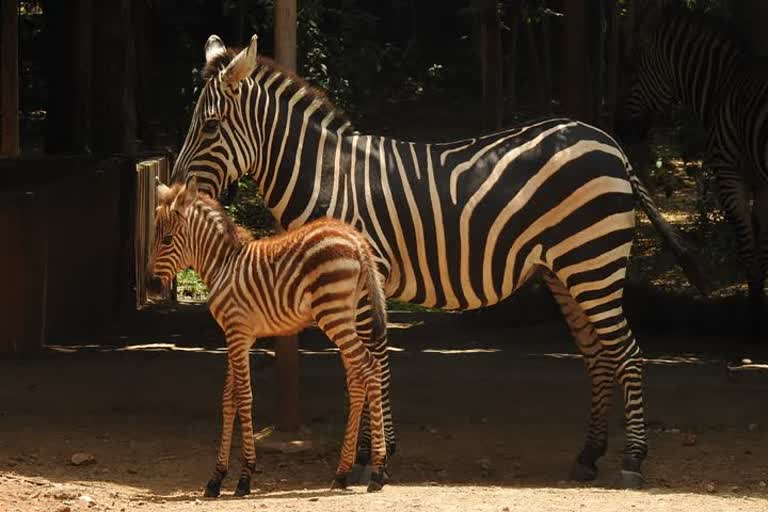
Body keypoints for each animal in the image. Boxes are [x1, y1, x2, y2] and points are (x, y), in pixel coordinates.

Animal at [146, 177, 390, 496]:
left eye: (166, 240)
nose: (149, 286)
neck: (223, 264)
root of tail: (356, 239)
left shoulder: (237, 331)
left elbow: (244, 396)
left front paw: (245, 476)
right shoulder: (239, 335)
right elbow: (228, 399)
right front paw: (216, 477)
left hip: (333, 314)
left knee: (371, 368)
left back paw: (377, 472)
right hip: (348, 315)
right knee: (358, 378)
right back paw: (341, 473)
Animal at [170, 33, 708, 488]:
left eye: (210, 126)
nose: (174, 193)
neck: (328, 173)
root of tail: (610, 145)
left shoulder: (366, 274)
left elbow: (372, 359)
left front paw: (373, 458)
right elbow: (371, 361)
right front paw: (375, 453)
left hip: (592, 262)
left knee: (627, 353)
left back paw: (632, 460)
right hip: (566, 271)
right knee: (598, 355)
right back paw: (589, 455)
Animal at [616, 6, 768, 338]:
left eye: (631, 73)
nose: (621, 129)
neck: (723, 86)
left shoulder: (729, 176)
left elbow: (748, 251)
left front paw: (754, 321)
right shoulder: (760, 184)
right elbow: (761, 249)